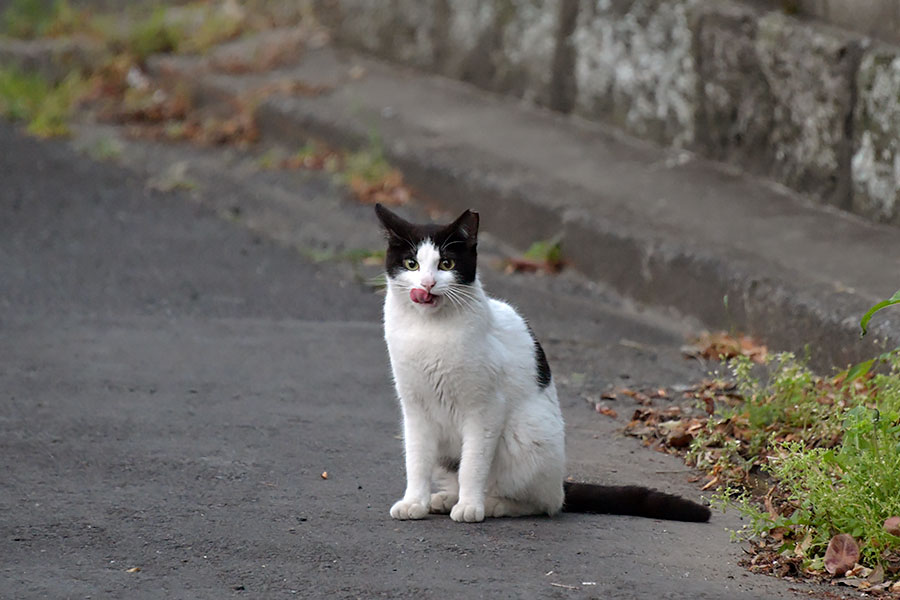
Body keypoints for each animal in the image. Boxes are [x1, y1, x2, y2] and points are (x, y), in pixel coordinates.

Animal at [372, 204, 712, 524]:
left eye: (447, 264)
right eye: (412, 264)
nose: (427, 284)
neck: (428, 330)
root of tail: (560, 483)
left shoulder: (485, 409)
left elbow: (473, 464)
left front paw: (470, 506)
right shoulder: (415, 407)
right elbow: (416, 460)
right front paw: (415, 502)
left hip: (525, 435)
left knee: (543, 503)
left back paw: (492, 504)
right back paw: (444, 498)